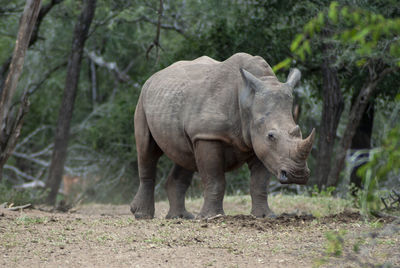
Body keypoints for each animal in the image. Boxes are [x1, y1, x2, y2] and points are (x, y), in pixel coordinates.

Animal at [131, 52, 316, 220]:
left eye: (298, 131)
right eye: (271, 136)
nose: (298, 175)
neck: (247, 100)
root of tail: (155, 76)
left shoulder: (260, 145)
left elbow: (259, 182)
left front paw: (265, 216)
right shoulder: (209, 136)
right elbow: (215, 179)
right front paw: (210, 217)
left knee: (185, 156)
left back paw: (181, 217)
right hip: (143, 99)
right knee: (147, 150)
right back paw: (142, 215)